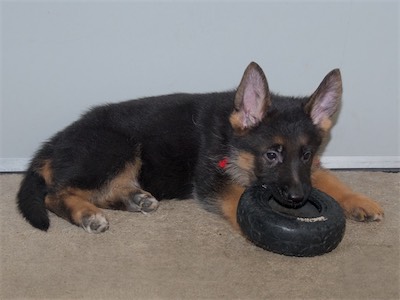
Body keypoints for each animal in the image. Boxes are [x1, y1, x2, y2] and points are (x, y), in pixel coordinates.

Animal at [17, 62, 382, 233]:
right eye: (271, 154)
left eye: (306, 155)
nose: (296, 199)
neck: (232, 138)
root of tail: (53, 143)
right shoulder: (212, 181)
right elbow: (237, 200)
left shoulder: (308, 173)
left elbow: (331, 179)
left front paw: (360, 201)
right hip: (116, 149)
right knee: (54, 194)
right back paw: (87, 214)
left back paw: (135, 199)